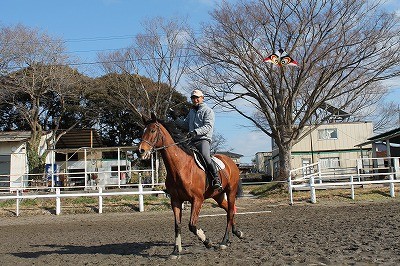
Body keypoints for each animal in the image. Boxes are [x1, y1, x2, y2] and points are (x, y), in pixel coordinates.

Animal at [138, 114, 244, 258]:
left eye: (152, 130)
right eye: (143, 131)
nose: (140, 150)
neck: (180, 167)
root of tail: (231, 162)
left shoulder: (197, 200)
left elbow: (192, 225)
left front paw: (207, 241)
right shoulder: (175, 200)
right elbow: (177, 225)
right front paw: (175, 251)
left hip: (231, 192)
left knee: (230, 213)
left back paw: (224, 241)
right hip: (218, 196)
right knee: (229, 210)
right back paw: (237, 233)